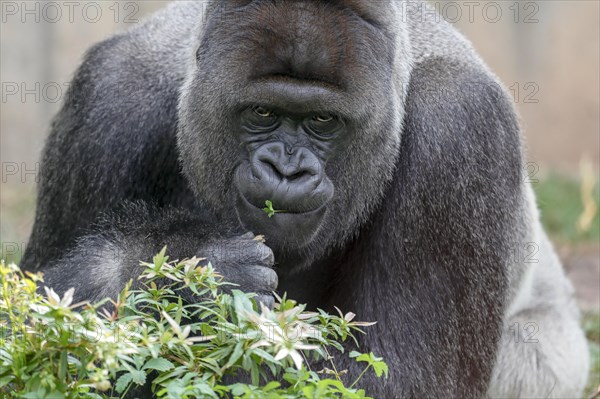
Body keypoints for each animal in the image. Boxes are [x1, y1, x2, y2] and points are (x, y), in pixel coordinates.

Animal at [21, 1, 588, 398]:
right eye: (261, 113)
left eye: (321, 120)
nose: (286, 169)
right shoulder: (111, 100)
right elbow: (38, 322)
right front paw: (180, 271)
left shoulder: (461, 124)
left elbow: (399, 380)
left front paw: (188, 279)